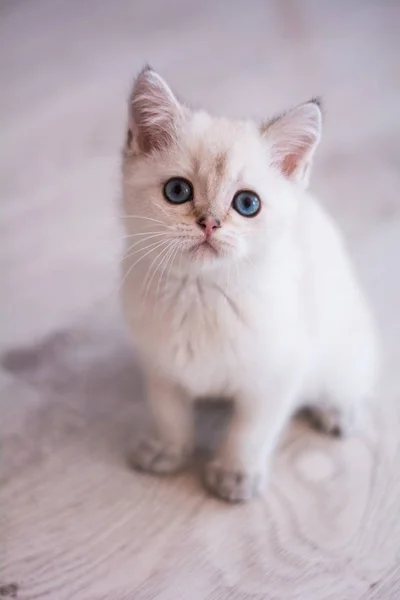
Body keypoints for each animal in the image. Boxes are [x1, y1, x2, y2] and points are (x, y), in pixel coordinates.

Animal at [121, 67, 378, 502]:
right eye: (177, 191)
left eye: (247, 204)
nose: (209, 223)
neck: (201, 292)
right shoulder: (160, 365)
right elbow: (169, 413)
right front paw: (168, 450)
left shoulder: (277, 376)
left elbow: (249, 432)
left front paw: (235, 474)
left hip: (341, 344)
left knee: (354, 377)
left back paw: (337, 412)